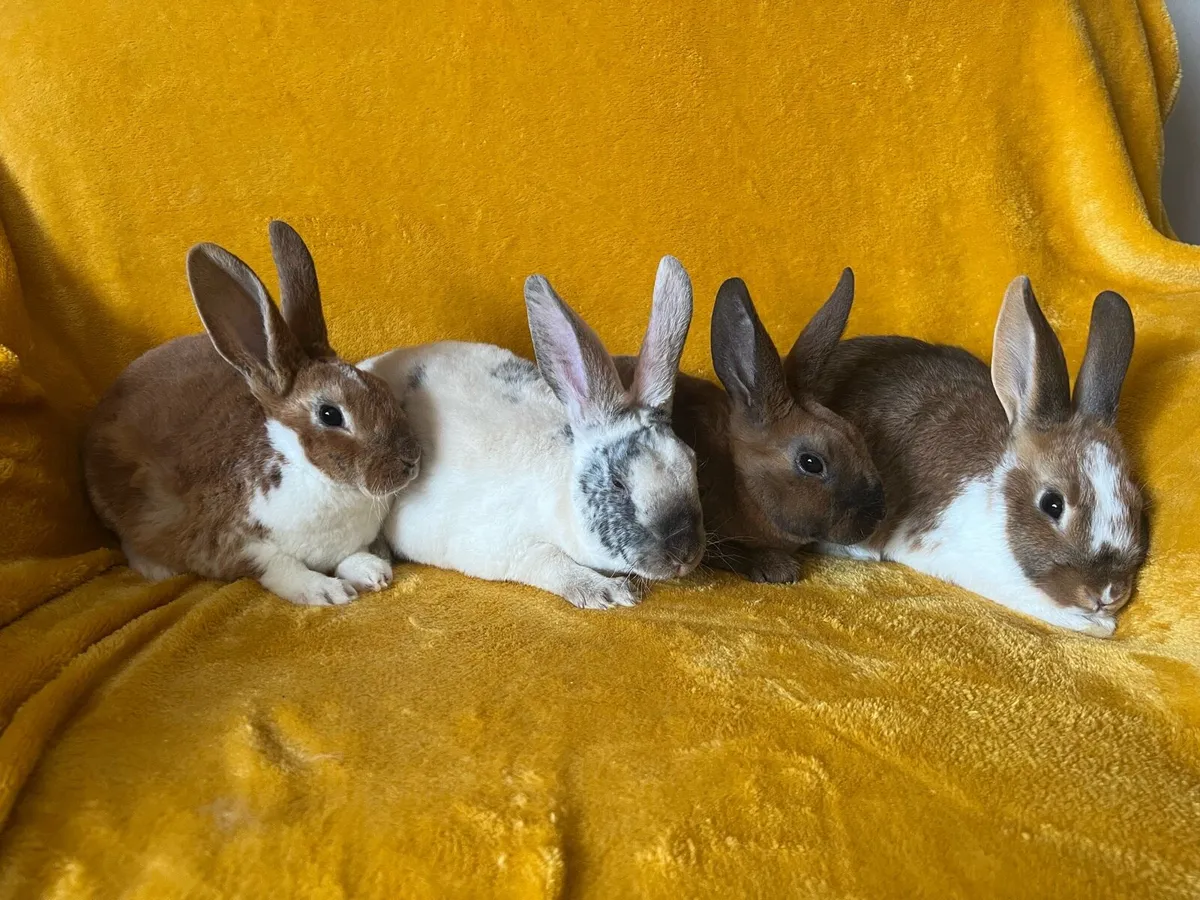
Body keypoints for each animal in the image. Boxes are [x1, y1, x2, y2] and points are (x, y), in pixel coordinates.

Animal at [83, 221, 421, 606]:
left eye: (381, 386)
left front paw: (373, 572)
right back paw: (156, 568)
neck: (311, 473)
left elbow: (352, 555)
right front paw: (328, 590)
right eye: (330, 415)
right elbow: (283, 569)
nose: (411, 460)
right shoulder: (238, 544)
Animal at [361, 256, 705, 610]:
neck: (563, 491)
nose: (684, 554)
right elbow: (552, 563)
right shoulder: (510, 547)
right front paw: (609, 591)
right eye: (618, 483)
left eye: (692, 463)